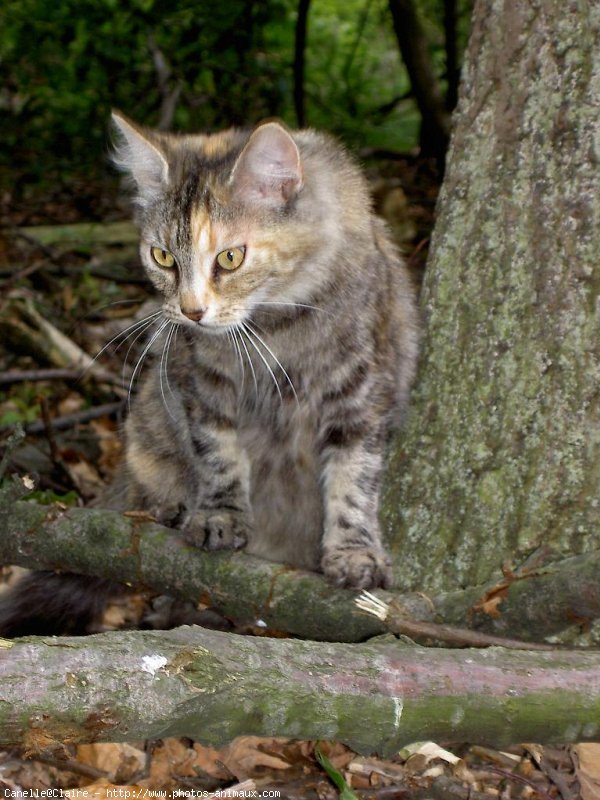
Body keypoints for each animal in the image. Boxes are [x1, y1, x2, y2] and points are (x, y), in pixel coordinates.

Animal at [0, 114, 418, 636]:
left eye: (230, 258)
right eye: (162, 257)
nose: (191, 311)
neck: (275, 327)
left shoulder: (360, 392)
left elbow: (353, 480)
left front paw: (353, 553)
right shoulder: (201, 383)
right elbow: (219, 454)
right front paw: (219, 517)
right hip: (147, 429)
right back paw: (169, 515)